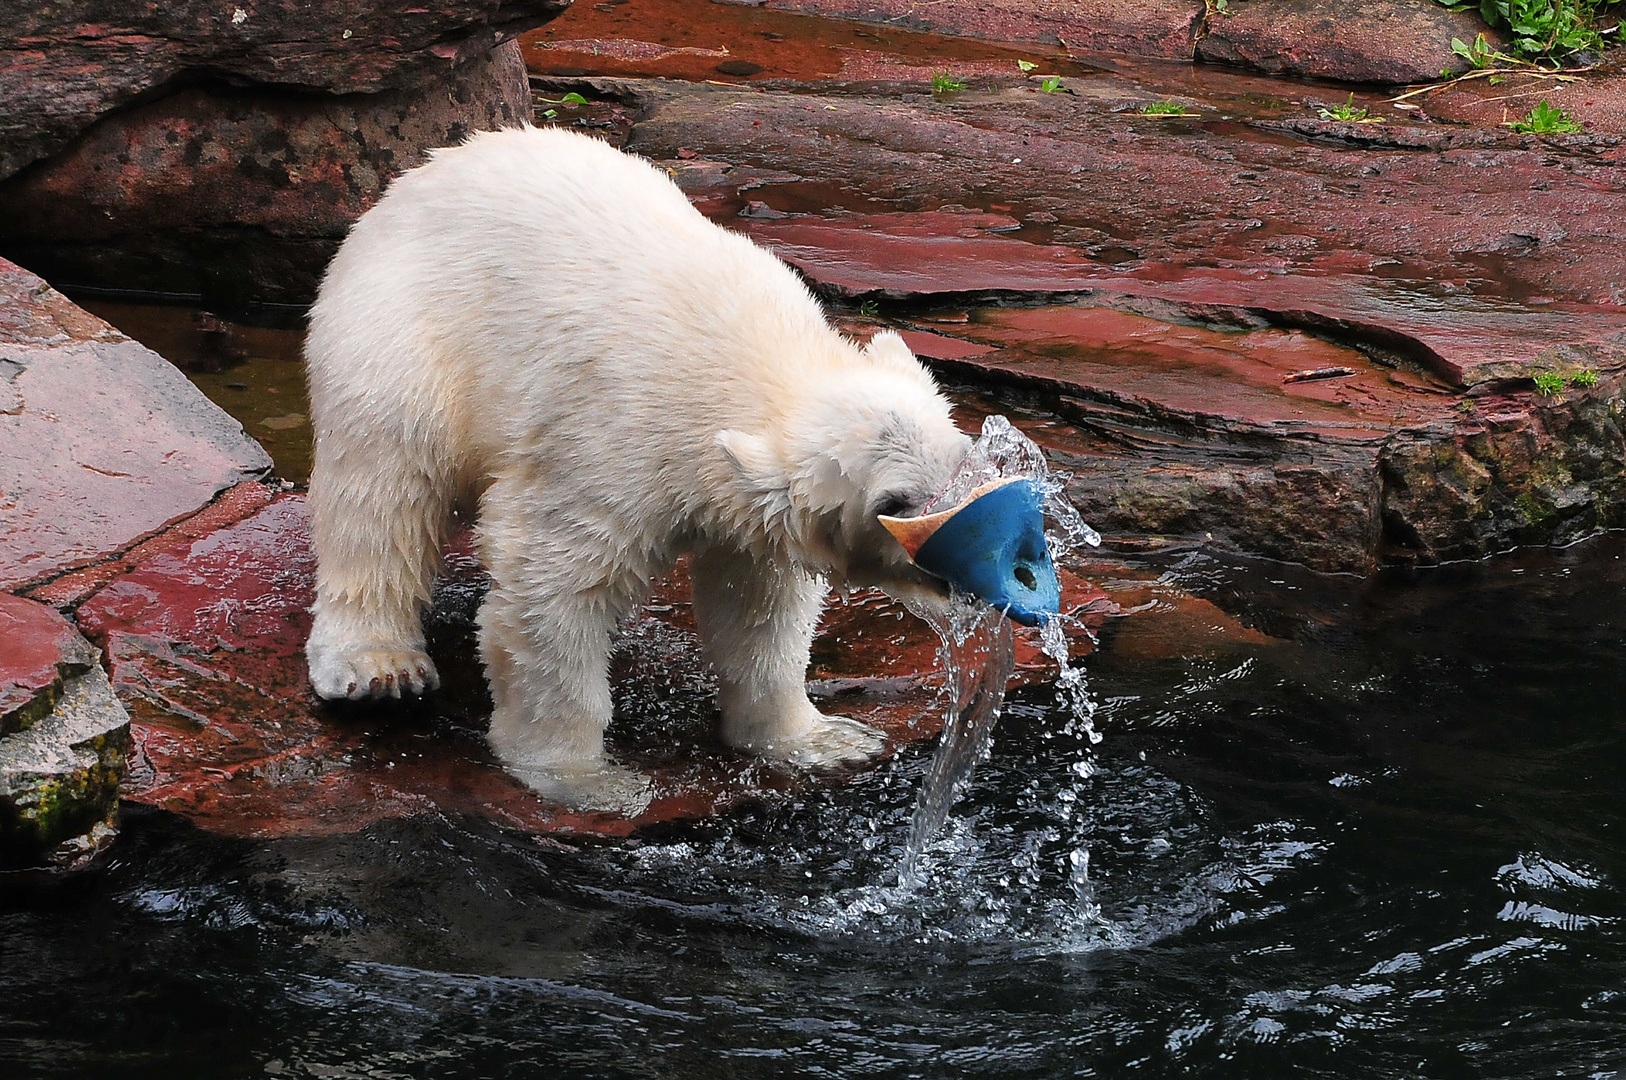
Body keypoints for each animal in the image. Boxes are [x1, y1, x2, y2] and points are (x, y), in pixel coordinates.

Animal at [300, 126, 969, 806]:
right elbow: (553, 589)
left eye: (963, 462)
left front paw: (822, 740)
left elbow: (759, 607)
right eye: (893, 504)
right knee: (385, 489)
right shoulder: (611, 443)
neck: (747, 362)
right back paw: (377, 664)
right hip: (402, 340)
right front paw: (583, 777)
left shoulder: (749, 506)